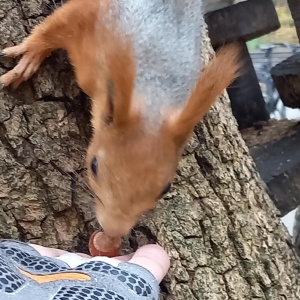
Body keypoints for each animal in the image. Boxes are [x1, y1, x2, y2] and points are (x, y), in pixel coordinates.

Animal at [0, 0, 240, 239]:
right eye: (94, 165)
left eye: (167, 188)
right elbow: (54, 27)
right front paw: (29, 56)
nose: (113, 230)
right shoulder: (91, 15)